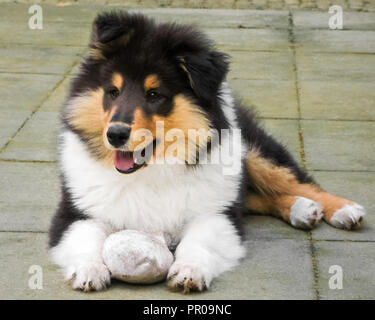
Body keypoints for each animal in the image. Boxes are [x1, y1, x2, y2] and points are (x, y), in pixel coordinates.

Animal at [47, 11, 368, 292]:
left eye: (155, 95)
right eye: (112, 92)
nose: (115, 135)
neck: (154, 171)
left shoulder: (214, 212)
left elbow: (199, 241)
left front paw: (189, 271)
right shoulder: (75, 211)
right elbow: (85, 238)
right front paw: (90, 271)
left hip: (254, 151)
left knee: (297, 181)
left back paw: (343, 210)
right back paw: (302, 209)